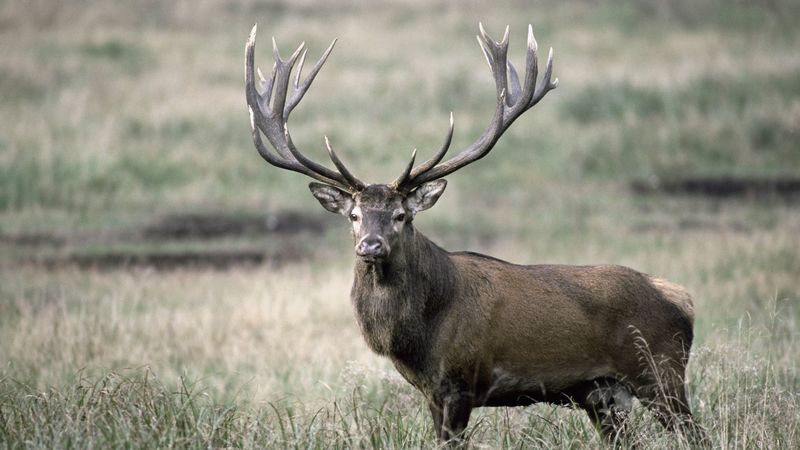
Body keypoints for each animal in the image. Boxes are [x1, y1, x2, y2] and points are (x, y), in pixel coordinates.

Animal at [244, 23, 704, 445]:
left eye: (401, 215)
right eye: (354, 215)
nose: (369, 246)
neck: (420, 335)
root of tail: (682, 298)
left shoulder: (462, 381)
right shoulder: (430, 392)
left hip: (660, 372)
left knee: (695, 433)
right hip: (603, 394)